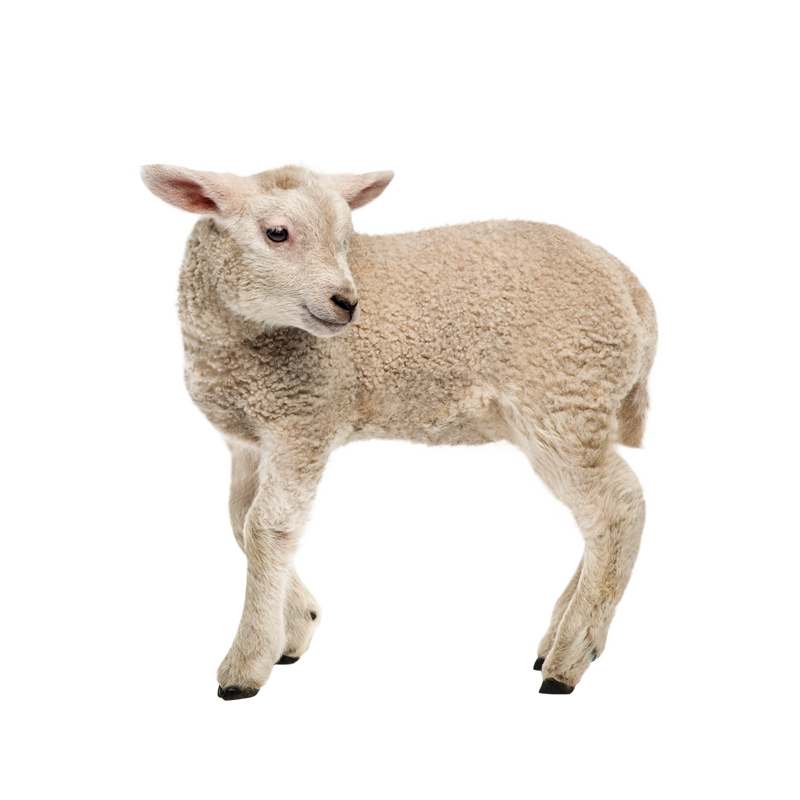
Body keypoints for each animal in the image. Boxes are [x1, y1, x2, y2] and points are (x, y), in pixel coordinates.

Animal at [135, 159, 663, 704]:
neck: (241, 344)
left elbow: (266, 527)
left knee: (621, 506)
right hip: (586, 406)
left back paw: (565, 667)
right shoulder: (249, 438)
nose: (347, 303)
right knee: (611, 511)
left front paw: (243, 666)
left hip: (563, 393)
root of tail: (634, 290)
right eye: (276, 233)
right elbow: (239, 520)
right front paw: (298, 622)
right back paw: (560, 641)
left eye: (346, 237)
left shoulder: (306, 419)